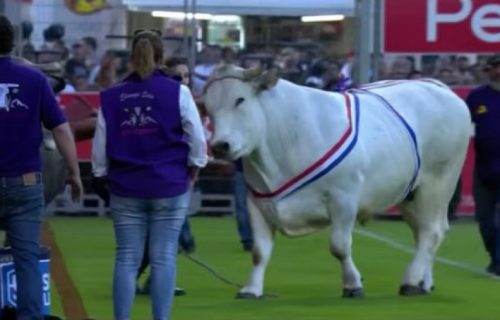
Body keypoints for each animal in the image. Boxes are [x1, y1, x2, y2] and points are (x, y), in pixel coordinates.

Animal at [201, 64, 470, 298]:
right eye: (207, 107)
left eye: (240, 100)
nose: (220, 145)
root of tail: (436, 85)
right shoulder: (258, 201)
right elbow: (260, 252)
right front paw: (251, 289)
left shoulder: (344, 198)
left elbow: (339, 246)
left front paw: (353, 284)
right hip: (410, 193)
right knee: (423, 232)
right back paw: (424, 281)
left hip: (438, 182)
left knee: (431, 231)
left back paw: (411, 281)